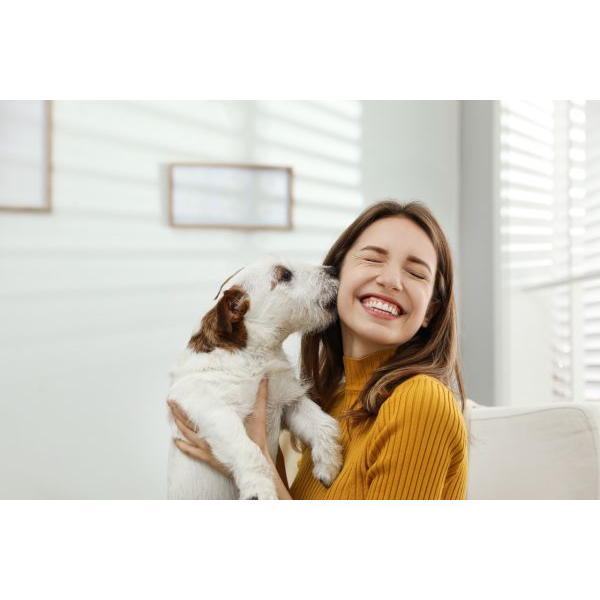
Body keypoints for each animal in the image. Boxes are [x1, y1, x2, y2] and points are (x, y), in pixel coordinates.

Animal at [166, 255, 344, 500]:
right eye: (285, 274)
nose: (334, 269)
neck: (254, 357)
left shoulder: (289, 402)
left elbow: (324, 424)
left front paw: (328, 463)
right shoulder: (213, 409)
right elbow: (247, 449)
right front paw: (259, 490)